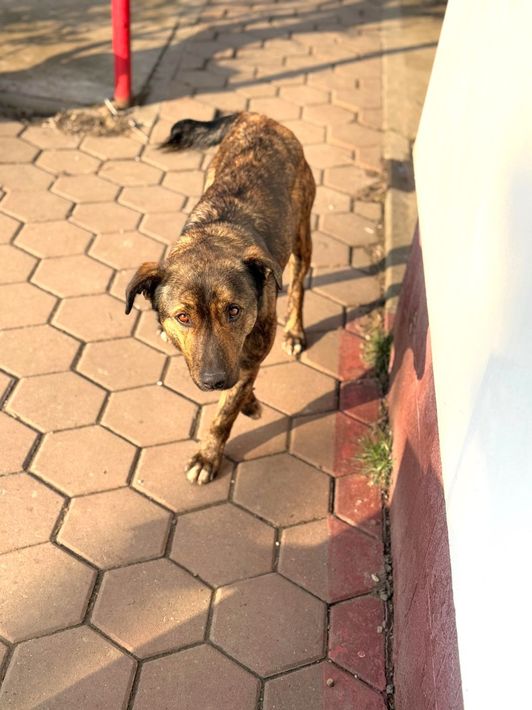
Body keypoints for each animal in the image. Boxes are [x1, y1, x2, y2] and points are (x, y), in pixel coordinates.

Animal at [125, 112, 315, 484]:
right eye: (183, 317)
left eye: (234, 311)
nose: (214, 381)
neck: (213, 239)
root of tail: (258, 116)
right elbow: (238, 387)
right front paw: (249, 402)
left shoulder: (251, 354)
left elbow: (225, 414)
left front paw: (208, 456)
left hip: (302, 236)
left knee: (300, 284)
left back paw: (295, 332)